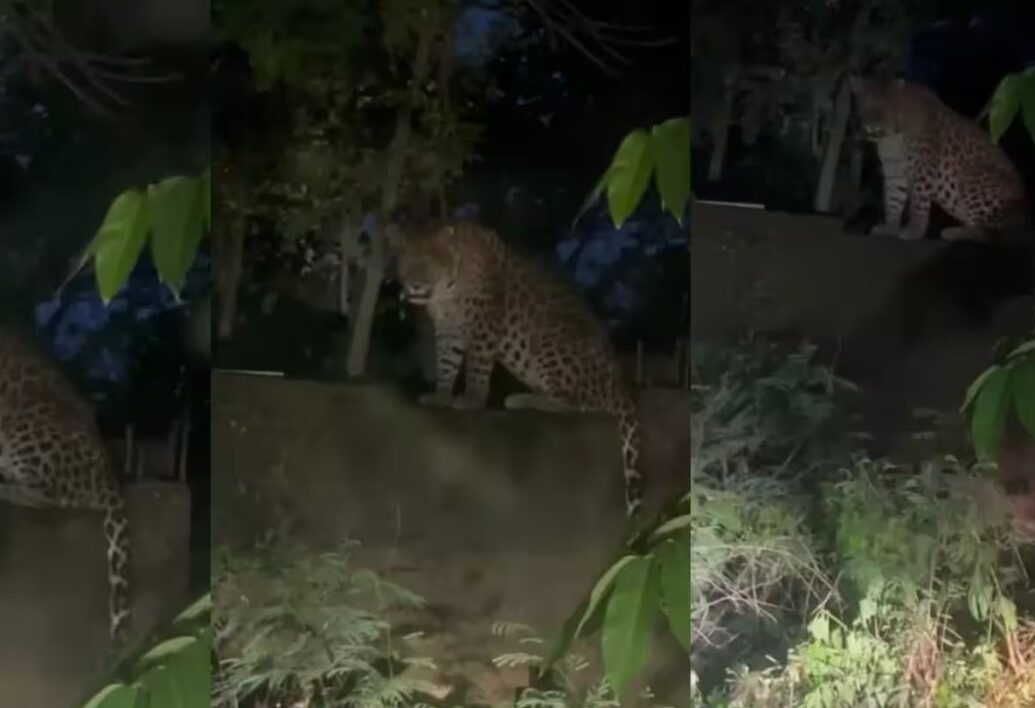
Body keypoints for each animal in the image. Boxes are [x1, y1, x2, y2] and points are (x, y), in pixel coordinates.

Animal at [386, 219, 645, 519]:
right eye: (405, 262)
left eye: (428, 262)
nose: (414, 285)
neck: (448, 290)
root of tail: (621, 384)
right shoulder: (448, 328)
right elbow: (446, 362)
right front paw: (441, 394)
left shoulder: (484, 320)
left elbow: (477, 366)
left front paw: (472, 399)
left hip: (551, 339)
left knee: (578, 403)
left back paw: (521, 399)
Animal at [850, 76, 1029, 243]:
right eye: (864, 106)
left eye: (882, 109)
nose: (870, 126)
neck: (891, 139)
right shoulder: (895, 173)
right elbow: (893, 201)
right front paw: (890, 227)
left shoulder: (923, 168)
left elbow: (918, 203)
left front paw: (915, 230)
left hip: (971, 176)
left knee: (986, 233)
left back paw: (953, 233)